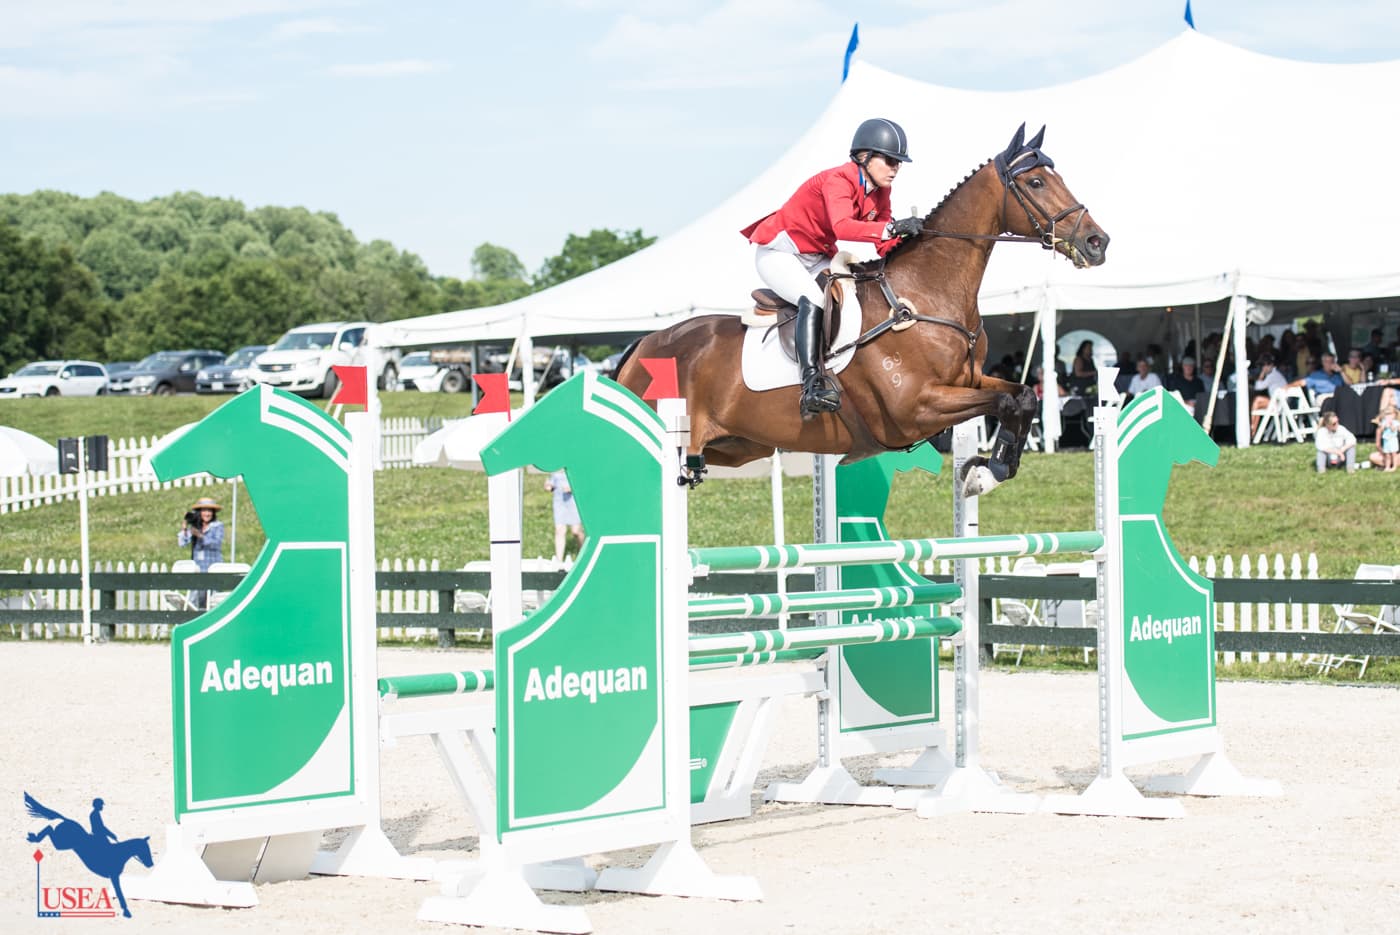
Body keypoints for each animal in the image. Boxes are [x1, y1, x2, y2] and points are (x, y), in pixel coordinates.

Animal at [616, 124, 1109, 497]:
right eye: (1036, 182)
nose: (1097, 242)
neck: (924, 295)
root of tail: (643, 345)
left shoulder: (968, 382)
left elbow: (1022, 396)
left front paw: (986, 472)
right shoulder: (915, 409)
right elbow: (1007, 400)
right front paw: (988, 472)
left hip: (735, 446)